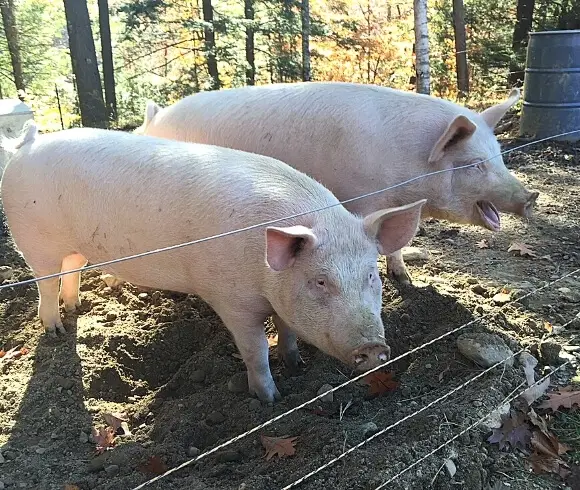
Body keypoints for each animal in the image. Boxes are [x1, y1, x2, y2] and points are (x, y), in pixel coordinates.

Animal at [0, 123, 426, 402]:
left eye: (371, 275)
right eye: (320, 281)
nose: (374, 347)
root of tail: (27, 145)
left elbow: (287, 331)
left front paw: (297, 365)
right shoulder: (232, 301)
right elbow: (255, 349)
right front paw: (270, 399)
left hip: (72, 246)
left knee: (70, 270)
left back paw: (76, 310)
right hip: (33, 239)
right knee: (45, 283)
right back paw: (56, 330)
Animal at [137, 82, 540, 286]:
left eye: (500, 156)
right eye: (475, 164)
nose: (532, 196)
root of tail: (153, 121)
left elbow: (397, 243)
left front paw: (406, 280)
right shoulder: (361, 199)